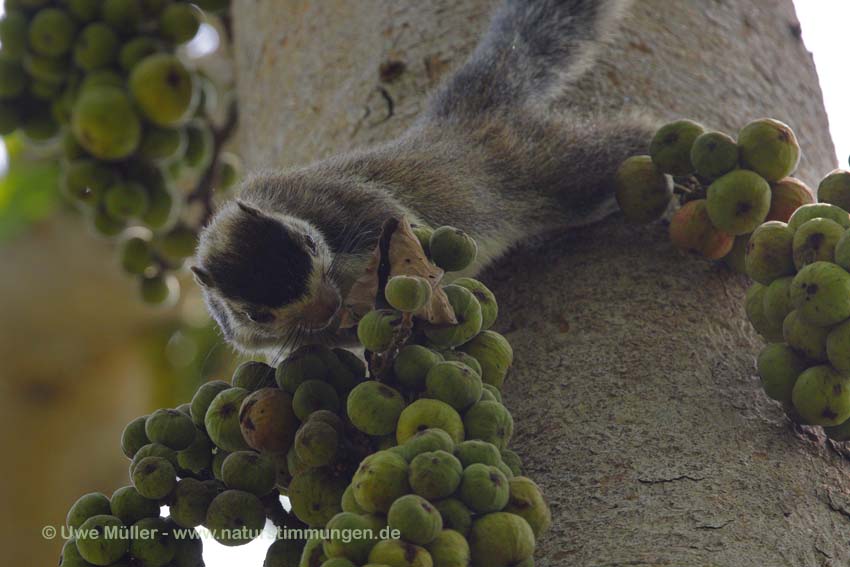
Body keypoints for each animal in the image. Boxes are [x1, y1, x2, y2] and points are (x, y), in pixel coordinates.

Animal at [195, 0, 652, 360]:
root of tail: (459, 119)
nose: (327, 307)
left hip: (547, 166)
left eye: (308, 244)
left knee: (615, 153)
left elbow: (396, 220)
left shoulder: (330, 196)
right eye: (256, 314)